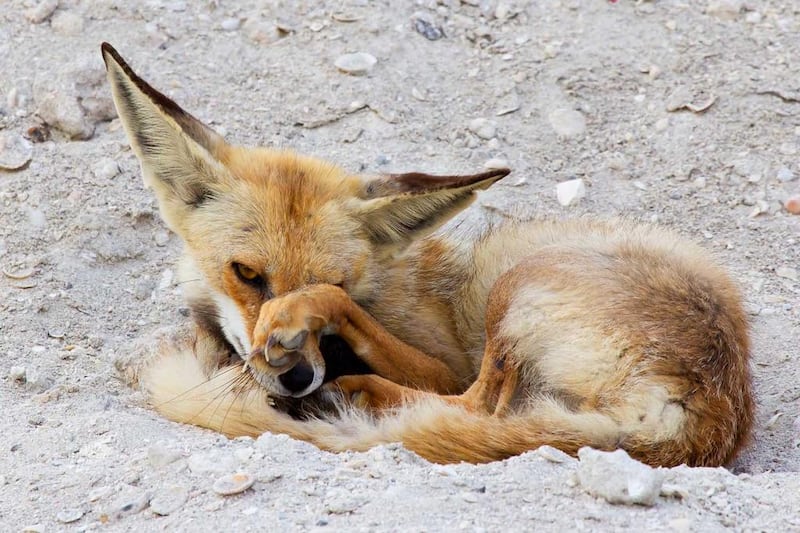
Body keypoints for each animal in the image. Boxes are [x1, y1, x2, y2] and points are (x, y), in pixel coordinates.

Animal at [98, 42, 752, 466]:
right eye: (246, 273)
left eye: (339, 277)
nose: (298, 376)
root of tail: (709, 416)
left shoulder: (440, 359)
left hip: (518, 284)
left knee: (481, 409)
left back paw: (360, 394)